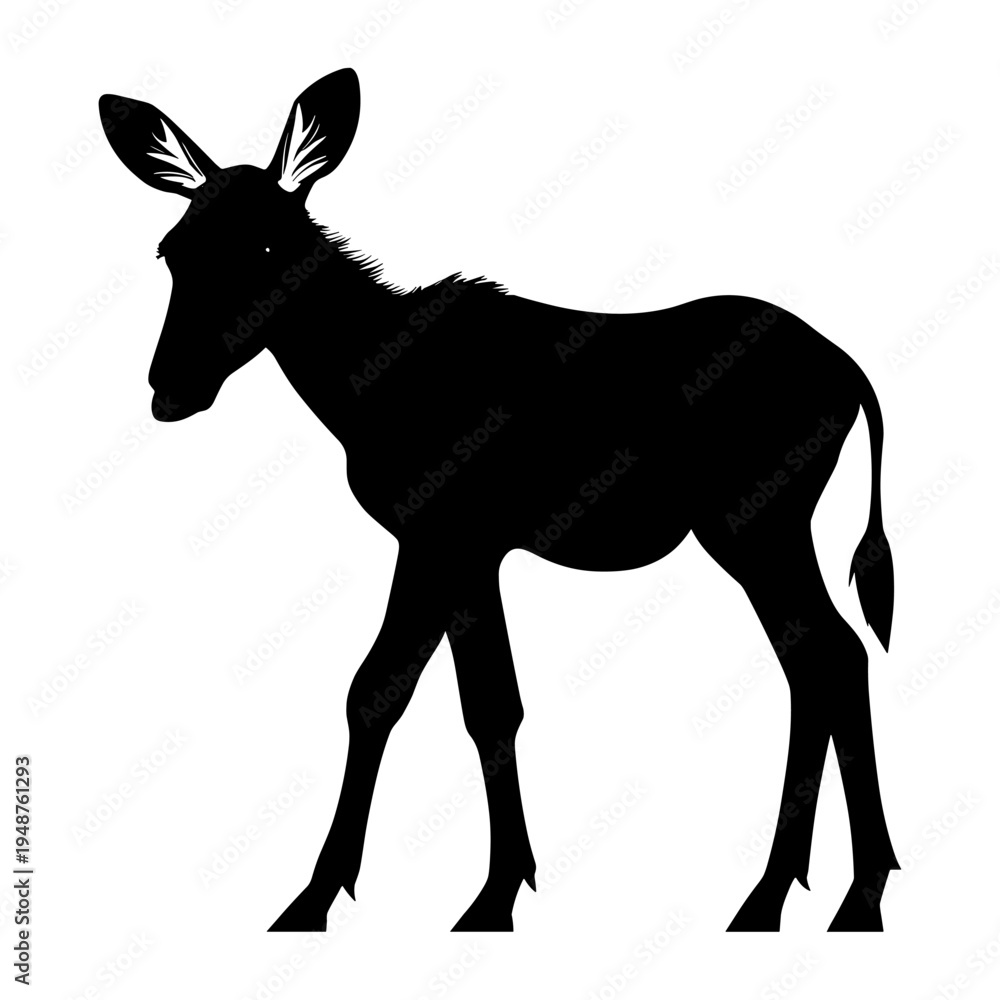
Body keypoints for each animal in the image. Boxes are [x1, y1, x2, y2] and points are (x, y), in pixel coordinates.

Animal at [100, 68, 900, 932]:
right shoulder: (437, 543)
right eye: (172, 250)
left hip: (757, 525)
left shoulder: (455, 539)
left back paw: (850, 893)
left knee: (834, 655)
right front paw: (321, 896)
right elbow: (384, 693)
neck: (361, 386)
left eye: (271, 245)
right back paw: (783, 890)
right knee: (816, 662)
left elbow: (479, 705)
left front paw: (489, 896)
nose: (172, 387)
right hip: (766, 530)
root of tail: (851, 372)